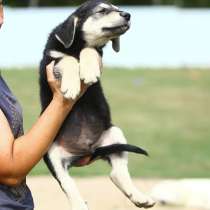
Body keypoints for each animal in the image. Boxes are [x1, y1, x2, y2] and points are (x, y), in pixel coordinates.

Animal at [39, 0, 155, 210]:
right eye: (102, 10)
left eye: (117, 8)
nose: (127, 15)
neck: (77, 46)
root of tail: (87, 151)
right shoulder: (50, 61)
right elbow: (67, 59)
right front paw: (71, 86)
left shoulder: (95, 52)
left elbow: (91, 50)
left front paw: (89, 71)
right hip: (51, 153)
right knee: (67, 183)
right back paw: (79, 205)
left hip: (115, 135)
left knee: (116, 174)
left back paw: (140, 197)